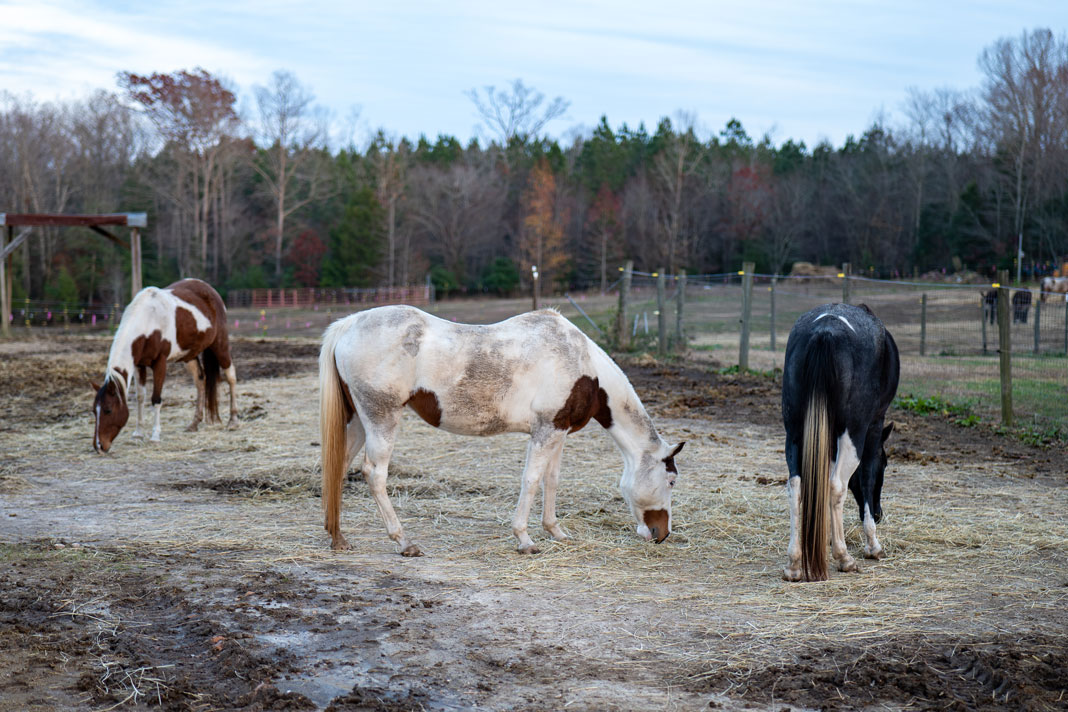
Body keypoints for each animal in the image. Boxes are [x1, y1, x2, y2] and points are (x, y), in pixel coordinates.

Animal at [92, 277, 238, 450]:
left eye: (108, 410)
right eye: (94, 411)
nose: (99, 446)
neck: (148, 320)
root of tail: (210, 289)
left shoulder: (160, 363)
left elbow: (156, 399)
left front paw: (155, 435)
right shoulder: (139, 365)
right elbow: (140, 397)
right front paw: (138, 433)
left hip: (220, 346)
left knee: (231, 376)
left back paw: (233, 421)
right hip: (189, 355)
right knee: (200, 380)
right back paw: (194, 423)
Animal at [318, 305, 683, 555]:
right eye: (671, 481)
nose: (661, 533)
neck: (583, 365)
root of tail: (350, 324)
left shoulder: (558, 432)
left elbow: (551, 480)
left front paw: (556, 531)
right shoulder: (545, 432)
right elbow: (531, 481)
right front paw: (525, 539)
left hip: (358, 421)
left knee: (338, 467)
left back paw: (338, 538)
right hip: (382, 419)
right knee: (375, 474)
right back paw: (403, 541)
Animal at [781, 303, 897, 580]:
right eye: (886, 465)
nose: (879, 513)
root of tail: (825, 331)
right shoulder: (874, 424)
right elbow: (865, 477)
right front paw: (872, 545)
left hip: (795, 429)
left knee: (796, 486)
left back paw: (794, 564)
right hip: (854, 430)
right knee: (836, 485)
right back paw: (844, 558)